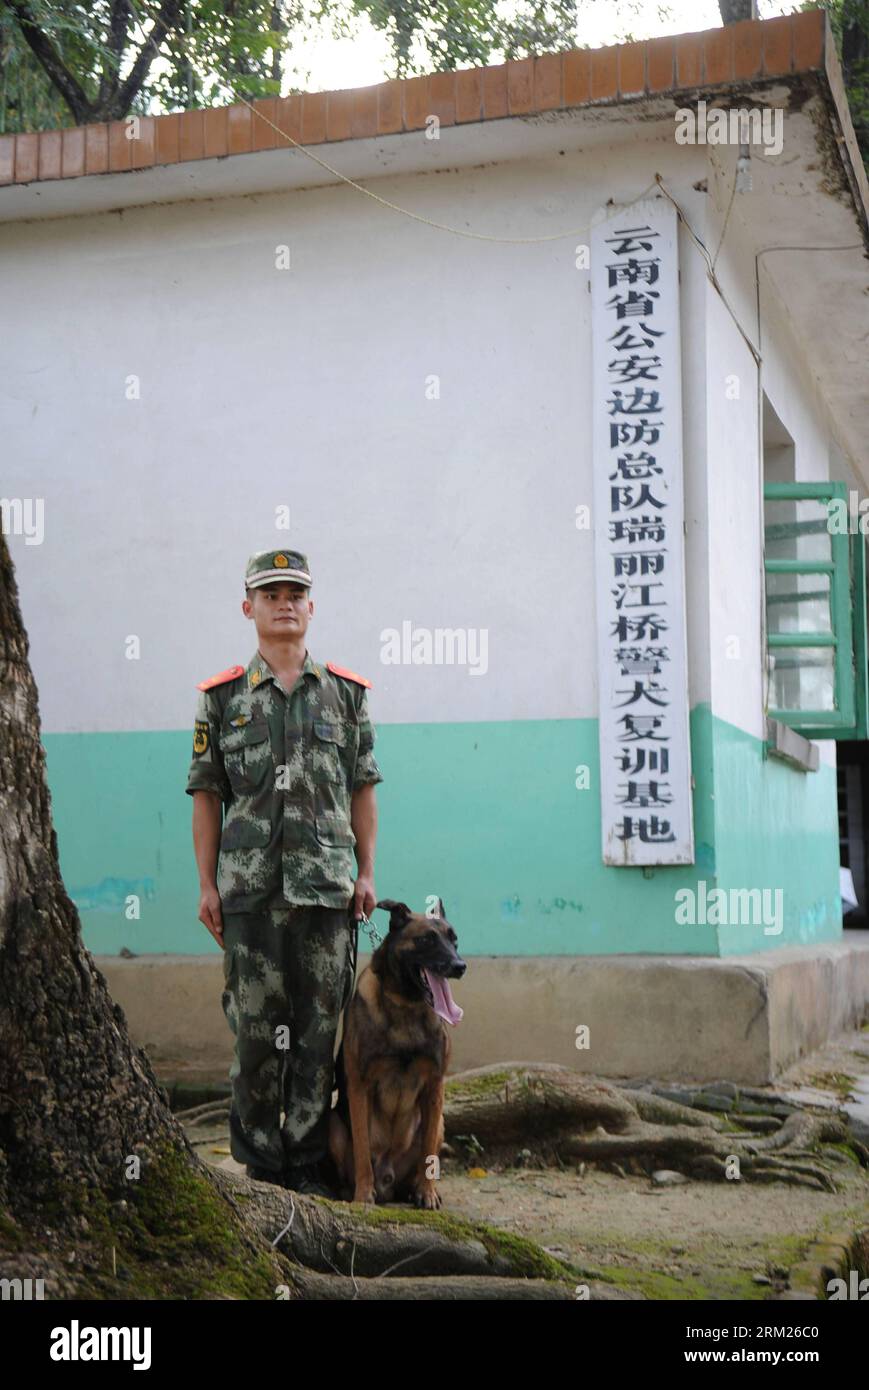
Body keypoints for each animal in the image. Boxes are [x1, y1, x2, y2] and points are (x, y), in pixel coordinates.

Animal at [326, 900, 464, 1206]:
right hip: (335, 1127)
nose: (460, 966)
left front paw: (427, 1193)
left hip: (439, 1123)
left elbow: (429, 1155)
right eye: (426, 939)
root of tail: (388, 1179)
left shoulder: (435, 1087)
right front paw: (363, 1195)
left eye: (454, 940)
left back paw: (416, 1189)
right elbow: (362, 1149)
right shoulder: (359, 1087)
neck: (407, 1005)